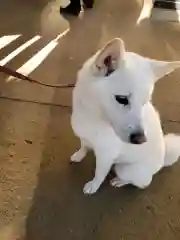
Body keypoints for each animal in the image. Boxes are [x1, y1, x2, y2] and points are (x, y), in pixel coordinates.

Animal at [70, 38, 180, 195]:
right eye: (122, 99)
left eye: (144, 102)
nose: (141, 140)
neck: (93, 117)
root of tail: (161, 162)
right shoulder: (84, 137)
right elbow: (83, 146)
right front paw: (79, 155)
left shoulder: (106, 156)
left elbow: (99, 174)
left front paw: (93, 186)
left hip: (122, 169)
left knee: (139, 183)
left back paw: (120, 181)